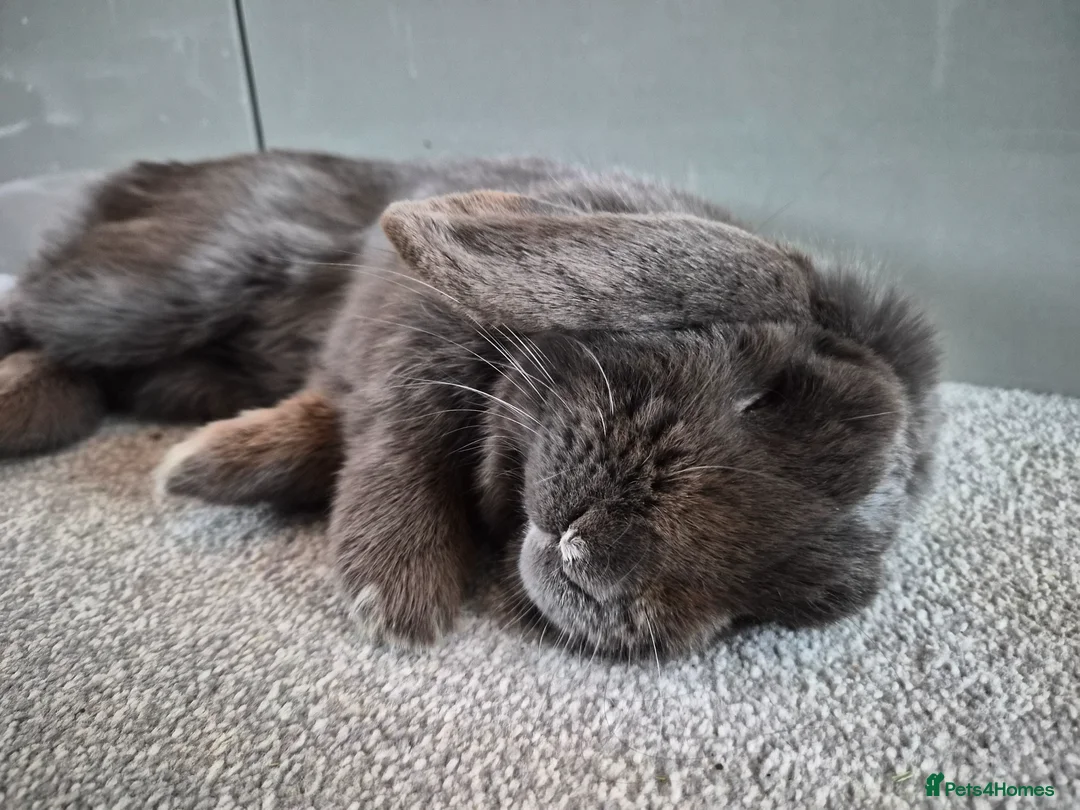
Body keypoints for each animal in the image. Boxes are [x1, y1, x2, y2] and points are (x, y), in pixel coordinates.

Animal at [0, 150, 940, 657]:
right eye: (763, 395)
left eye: (769, 605)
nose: (597, 557)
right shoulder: (414, 328)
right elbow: (402, 433)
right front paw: (396, 596)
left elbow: (328, 435)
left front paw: (200, 468)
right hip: (160, 284)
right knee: (38, 310)